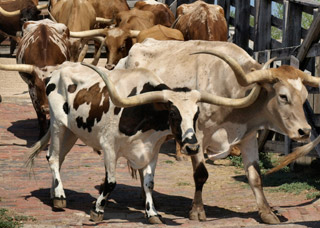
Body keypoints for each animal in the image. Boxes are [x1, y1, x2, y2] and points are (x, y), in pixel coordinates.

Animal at [26, 61, 260, 224]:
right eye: (173, 113)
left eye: (196, 114)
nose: (192, 147)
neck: (142, 112)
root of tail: (58, 70)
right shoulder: (109, 147)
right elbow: (110, 182)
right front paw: (97, 210)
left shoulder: (152, 150)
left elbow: (148, 183)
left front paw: (152, 213)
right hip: (58, 125)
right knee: (53, 158)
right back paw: (59, 197)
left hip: (72, 131)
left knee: (59, 158)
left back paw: (53, 192)